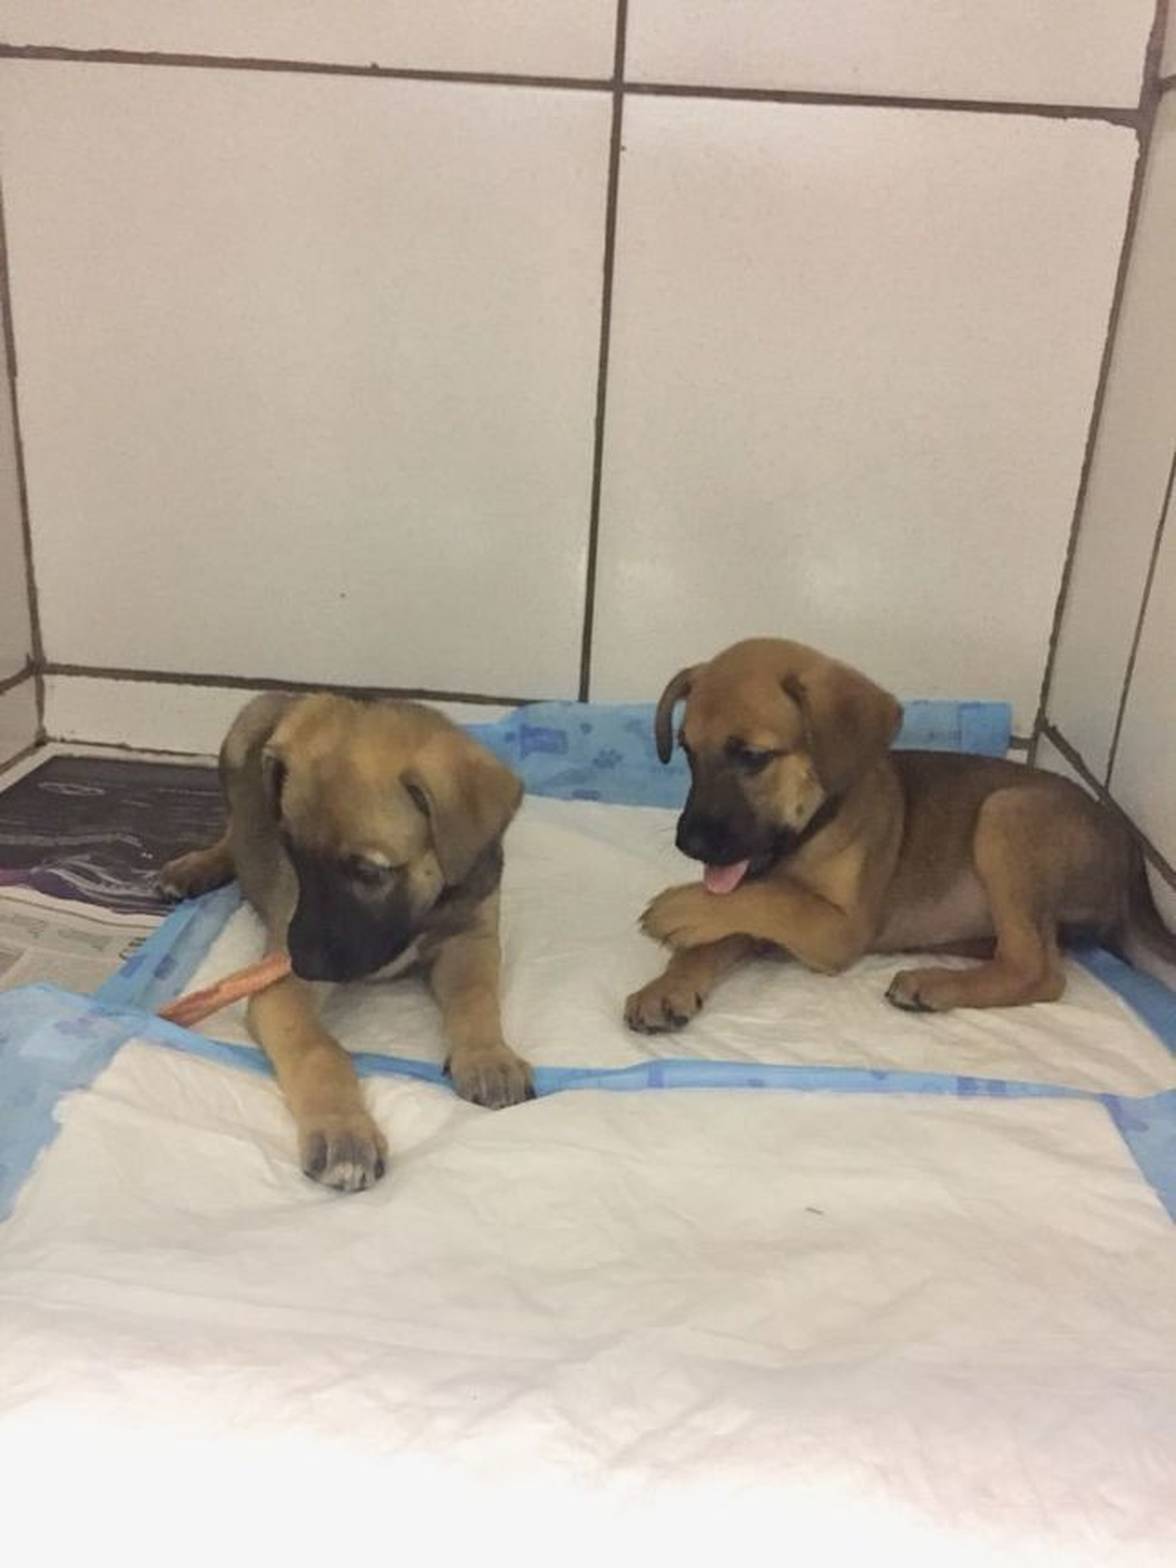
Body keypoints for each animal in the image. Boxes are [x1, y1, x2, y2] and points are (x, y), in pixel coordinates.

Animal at [160, 692, 532, 1191]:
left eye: (368, 872)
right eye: (292, 854)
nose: (301, 960)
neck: (422, 908)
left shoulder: (470, 937)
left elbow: (476, 997)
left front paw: (489, 1057)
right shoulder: (283, 990)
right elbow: (318, 1049)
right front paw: (342, 1132)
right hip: (241, 735)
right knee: (233, 830)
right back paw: (199, 865)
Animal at [626, 638, 1176, 1031]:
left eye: (752, 757)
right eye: (687, 752)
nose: (688, 845)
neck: (813, 831)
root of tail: (1128, 845)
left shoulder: (838, 929)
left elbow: (774, 900)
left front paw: (680, 907)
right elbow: (724, 929)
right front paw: (669, 985)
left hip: (1007, 813)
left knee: (1036, 970)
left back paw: (932, 983)